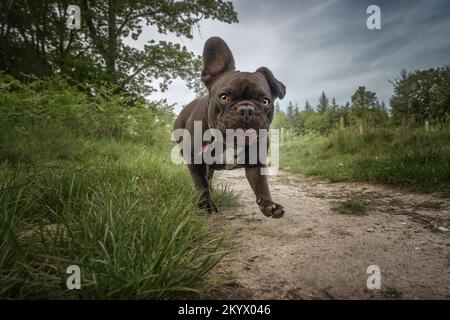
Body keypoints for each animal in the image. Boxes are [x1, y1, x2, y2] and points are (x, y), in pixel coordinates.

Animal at [174, 37, 286, 218]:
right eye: (224, 97)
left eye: (265, 101)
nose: (246, 109)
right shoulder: (193, 159)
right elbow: (200, 183)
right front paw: (206, 205)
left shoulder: (256, 161)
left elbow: (261, 183)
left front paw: (269, 204)